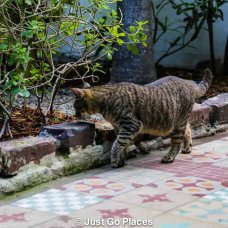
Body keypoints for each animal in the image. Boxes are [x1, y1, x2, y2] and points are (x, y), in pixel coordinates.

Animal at [72, 68, 213, 167]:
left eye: (76, 107)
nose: (75, 115)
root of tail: (187, 81)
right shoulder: (119, 127)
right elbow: (124, 144)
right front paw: (121, 159)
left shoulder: (130, 126)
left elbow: (117, 144)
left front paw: (115, 160)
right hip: (178, 120)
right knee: (188, 130)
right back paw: (187, 147)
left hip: (177, 124)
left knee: (176, 143)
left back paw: (170, 157)